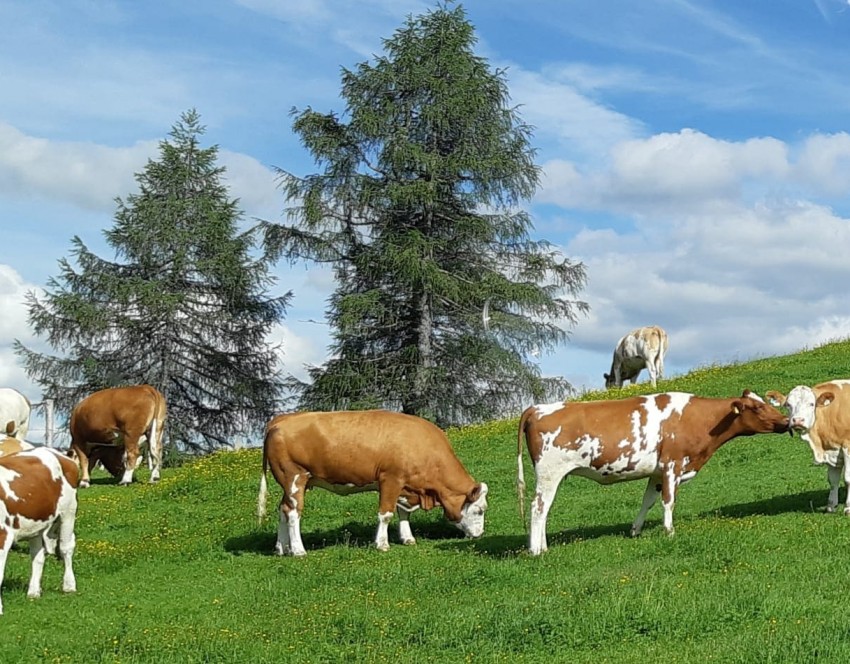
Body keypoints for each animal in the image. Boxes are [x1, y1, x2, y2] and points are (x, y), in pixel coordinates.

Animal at [0, 444, 78, 616]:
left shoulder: (3, 535)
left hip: (68, 511)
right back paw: (34, 592)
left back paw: (69, 586)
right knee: (38, 556)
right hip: (36, 524)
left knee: (66, 548)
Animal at [255, 410, 486, 556]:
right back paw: (298, 550)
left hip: (288, 483)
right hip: (295, 478)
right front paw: (382, 544)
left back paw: (282, 548)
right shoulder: (390, 479)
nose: (479, 535)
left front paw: (407, 538)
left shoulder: (406, 486)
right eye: (480, 510)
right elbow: (386, 514)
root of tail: (281, 419)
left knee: (282, 509)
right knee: (293, 512)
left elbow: (404, 513)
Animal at [516, 390, 788, 556]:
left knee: (545, 509)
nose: (786, 422)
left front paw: (635, 530)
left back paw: (544, 547)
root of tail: (535, 408)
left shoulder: (657, 473)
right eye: (757, 407)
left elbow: (648, 501)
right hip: (549, 473)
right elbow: (668, 501)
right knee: (538, 508)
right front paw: (669, 531)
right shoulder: (672, 465)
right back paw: (536, 551)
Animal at [764, 378, 848, 512]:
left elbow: (847, 479)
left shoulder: (847, 446)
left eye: (811, 404)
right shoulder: (832, 450)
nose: (798, 420)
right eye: (788, 405)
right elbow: (833, 480)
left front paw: (847, 508)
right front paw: (831, 506)